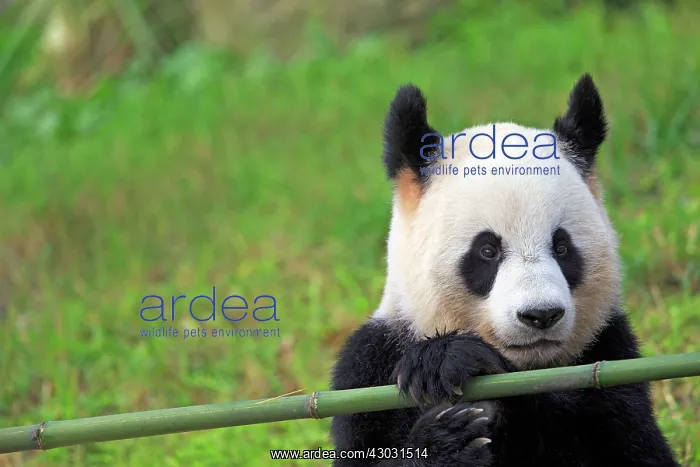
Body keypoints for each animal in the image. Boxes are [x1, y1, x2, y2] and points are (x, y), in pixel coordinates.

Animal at [329, 74, 680, 467]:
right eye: (487, 251)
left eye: (562, 247)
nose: (541, 315)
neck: (533, 367)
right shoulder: (370, 368)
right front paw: (447, 423)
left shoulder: (611, 353)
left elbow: (628, 445)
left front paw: (463, 369)